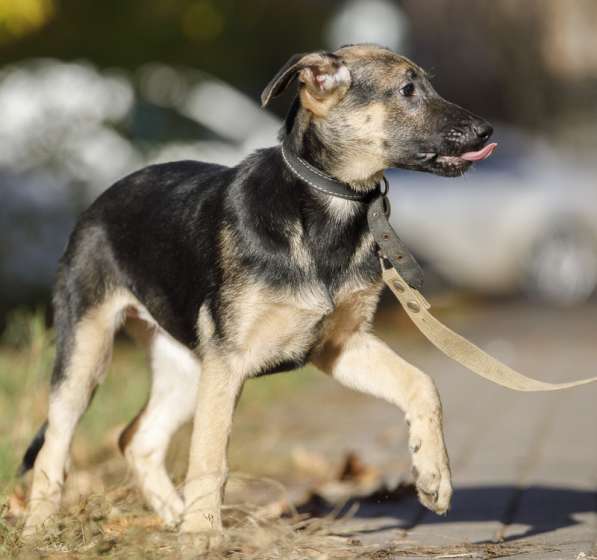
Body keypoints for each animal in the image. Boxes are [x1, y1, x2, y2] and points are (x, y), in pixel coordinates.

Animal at [18, 44, 494, 548]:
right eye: (407, 90)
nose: (488, 131)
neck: (326, 209)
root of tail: (97, 203)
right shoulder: (230, 360)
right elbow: (209, 457)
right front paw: (203, 534)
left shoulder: (341, 346)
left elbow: (423, 385)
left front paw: (433, 476)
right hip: (88, 351)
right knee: (55, 445)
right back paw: (41, 528)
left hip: (187, 364)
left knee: (137, 439)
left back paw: (174, 516)